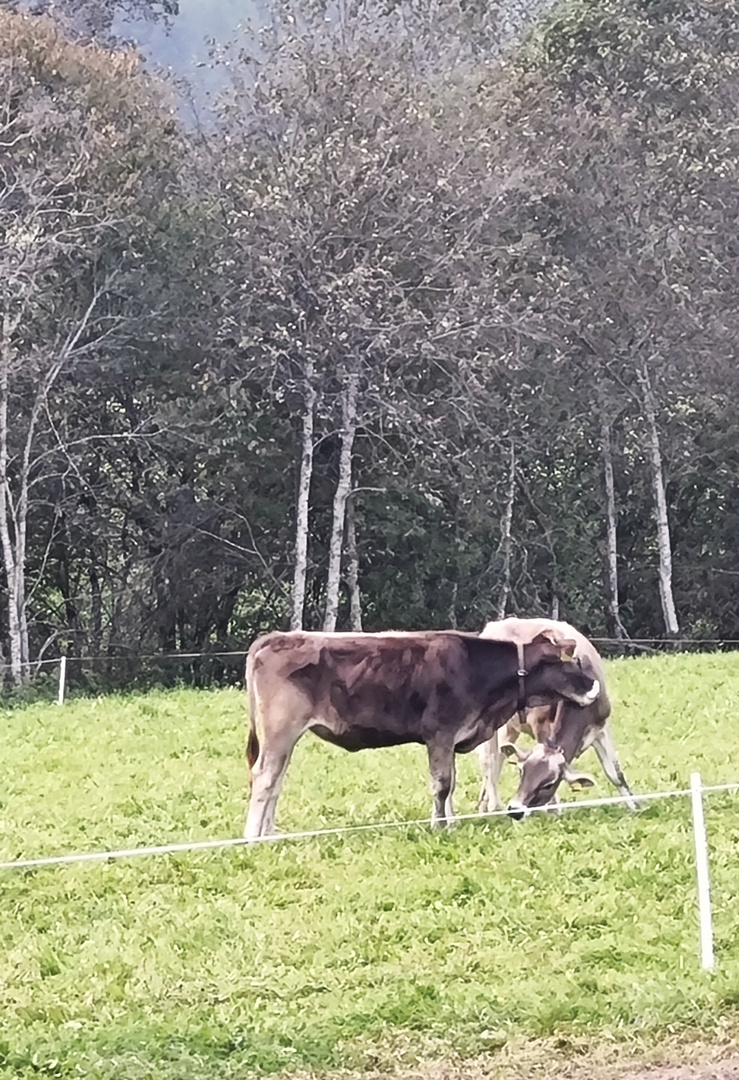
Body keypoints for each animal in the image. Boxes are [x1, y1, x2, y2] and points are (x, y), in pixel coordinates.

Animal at [242, 630, 600, 838]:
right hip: (280, 729)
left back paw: (270, 834)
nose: (594, 686)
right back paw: (251, 838)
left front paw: (450, 822)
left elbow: (450, 782)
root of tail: (275, 637)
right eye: (567, 662)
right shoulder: (439, 733)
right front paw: (439, 826)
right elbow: (442, 784)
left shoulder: (451, 739)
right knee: (264, 777)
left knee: (276, 780)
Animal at [475, 617, 639, 816]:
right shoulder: (540, 725)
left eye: (548, 784)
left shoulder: (600, 727)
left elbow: (615, 773)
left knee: (500, 756)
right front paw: (554, 811)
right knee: (488, 761)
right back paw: (492, 806)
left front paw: (636, 806)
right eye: (522, 773)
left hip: (509, 727)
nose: (515, 810)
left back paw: (484, 805)